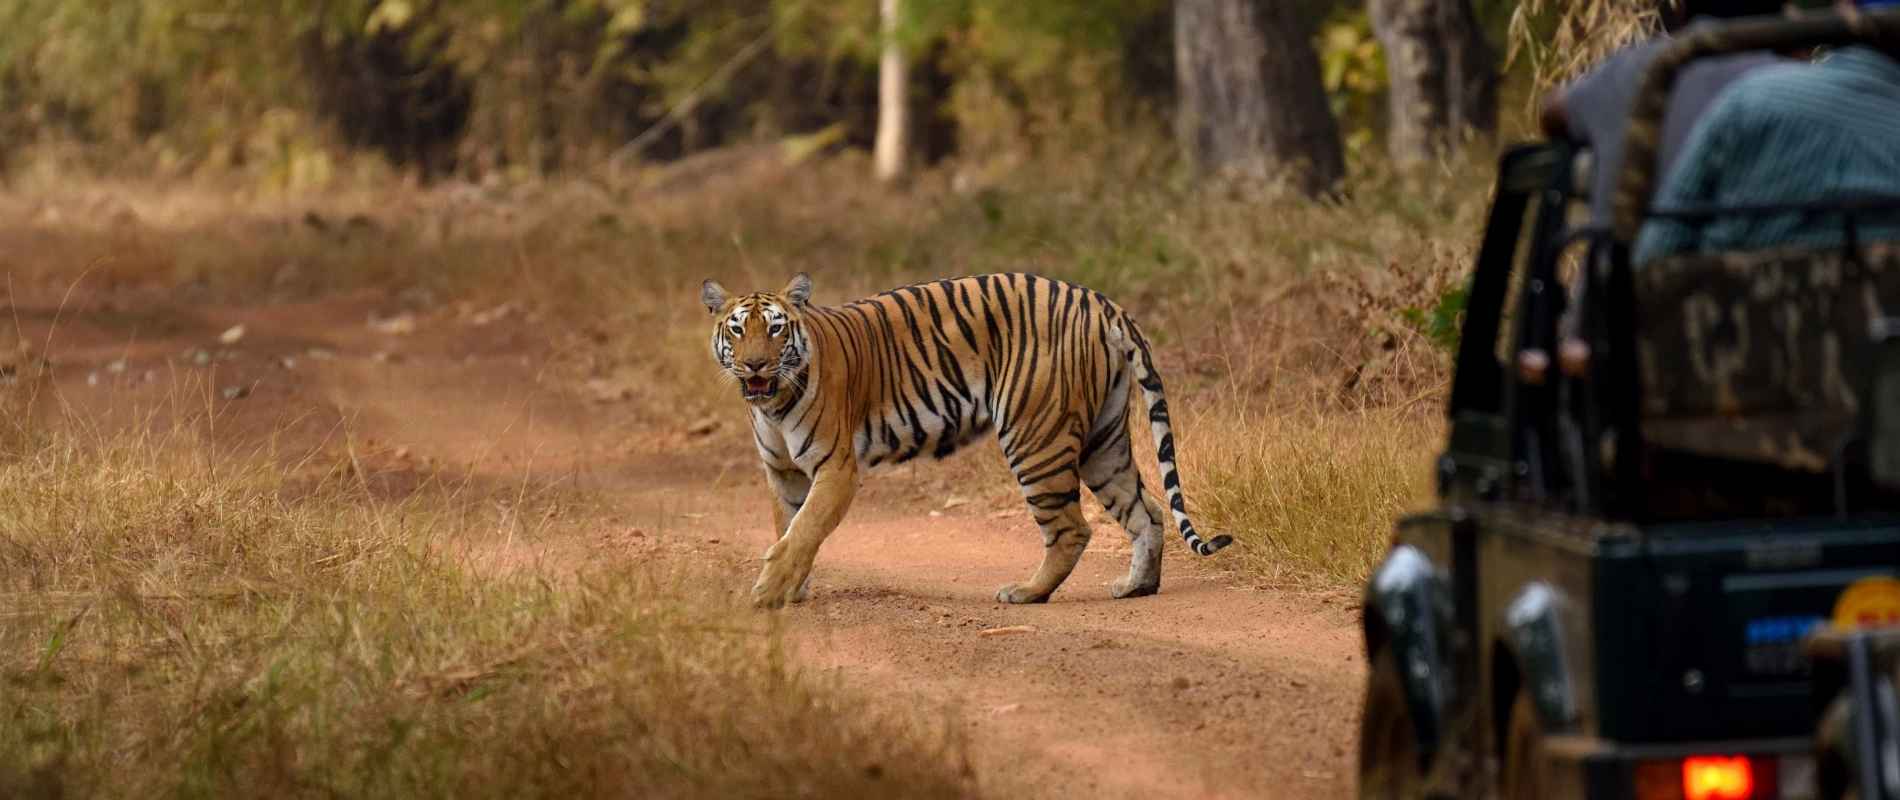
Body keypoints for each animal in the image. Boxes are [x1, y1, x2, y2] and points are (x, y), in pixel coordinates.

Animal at [699, 271, 1231, 608]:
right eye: (737, 330)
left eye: (775, 329)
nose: (755, 365)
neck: (771, 404)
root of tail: (1097, 300)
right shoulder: (783, 472)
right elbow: (788, 527)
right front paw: (792, 588)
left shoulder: (836, 468)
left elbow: (803, 529)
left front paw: (769, 592)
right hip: (1105, 443)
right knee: (1148, 511)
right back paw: (1136, 587)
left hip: (1034, 436)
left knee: (1072, 529)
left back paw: (1027, 593)